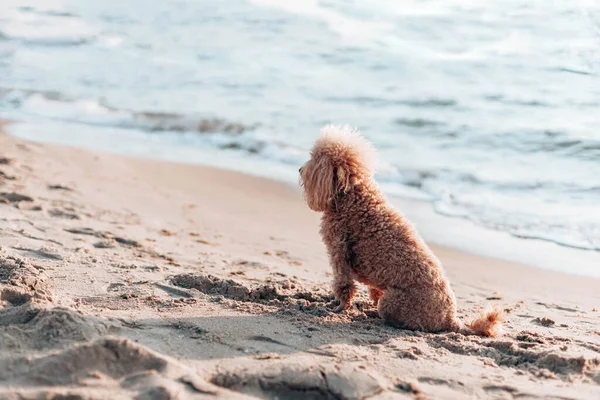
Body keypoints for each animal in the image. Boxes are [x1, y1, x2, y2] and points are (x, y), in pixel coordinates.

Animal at [298, 124, 502, 334]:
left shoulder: (339, 252)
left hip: (393, 302)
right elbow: (371, 289)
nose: (299, 169)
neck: (353, 194)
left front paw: (338, 308)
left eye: (314, 157)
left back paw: (376, 316)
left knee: (398, 320)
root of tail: (451, 320)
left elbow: (344, 286)